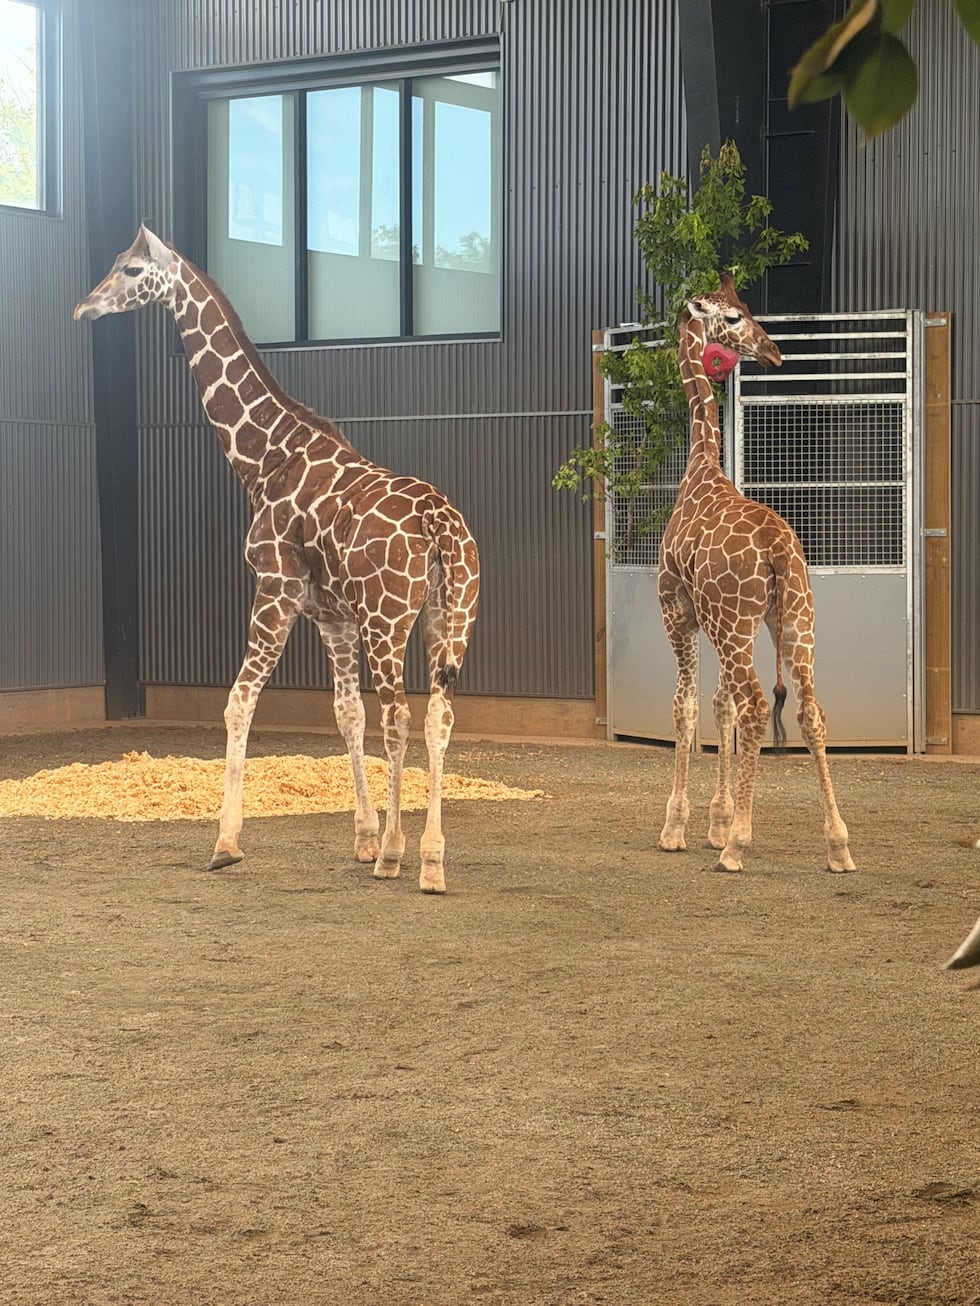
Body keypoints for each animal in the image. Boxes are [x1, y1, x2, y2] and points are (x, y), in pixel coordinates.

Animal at [73, 225, 480, 894]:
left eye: (131, 270)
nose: (85, 308)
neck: (265, 457)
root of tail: (439, 524)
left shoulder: (276, 587)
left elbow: (240, 700)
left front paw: (226, 843)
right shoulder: (331, 615)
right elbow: (346, 714)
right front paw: (363, 838)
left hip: (389, 620)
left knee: (401, 714)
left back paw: (400, 855)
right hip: (451, 617)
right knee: (438, 715)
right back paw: (431, 860)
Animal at [657, 273, 855, 875]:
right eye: (735, 316)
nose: (773, 351)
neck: (700, 467)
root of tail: (777, 552)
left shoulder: (678, 612)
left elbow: (688, 707)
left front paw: (681, 827)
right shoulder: (715, 622)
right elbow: (716, 706)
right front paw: (717, 821)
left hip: (736, 622)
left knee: (757, 704)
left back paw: (738, 847)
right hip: (792, 619)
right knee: (810, 708)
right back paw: (838, 845)